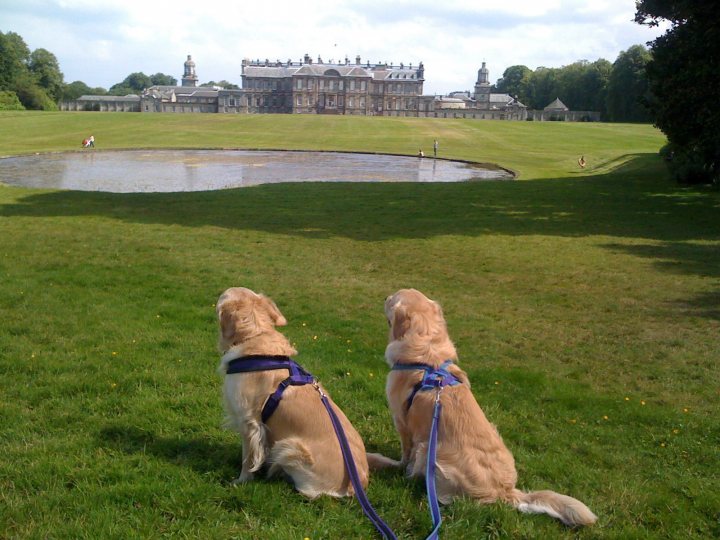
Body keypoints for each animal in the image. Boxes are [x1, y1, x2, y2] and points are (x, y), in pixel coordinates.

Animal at [217, 286, 368, 498]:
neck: (255, 337)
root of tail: (355, 486)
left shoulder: (248, 421)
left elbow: (248, 457)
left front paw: (242, 480)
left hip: (288, 445)